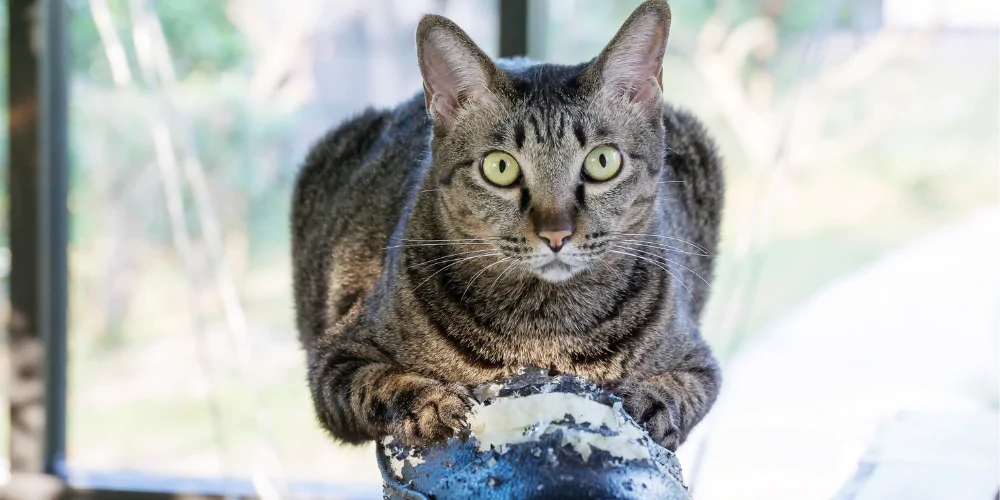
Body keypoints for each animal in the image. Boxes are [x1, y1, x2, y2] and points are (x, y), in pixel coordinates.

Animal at [292, 0, 724, 452]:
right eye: (500, 167)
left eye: (602, 161)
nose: (556, 234)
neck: (544, 333)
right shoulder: (336, 357)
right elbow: (380, 382)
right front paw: (432, 404)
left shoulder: (700, 362)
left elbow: (681, 391)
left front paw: (650, 406)